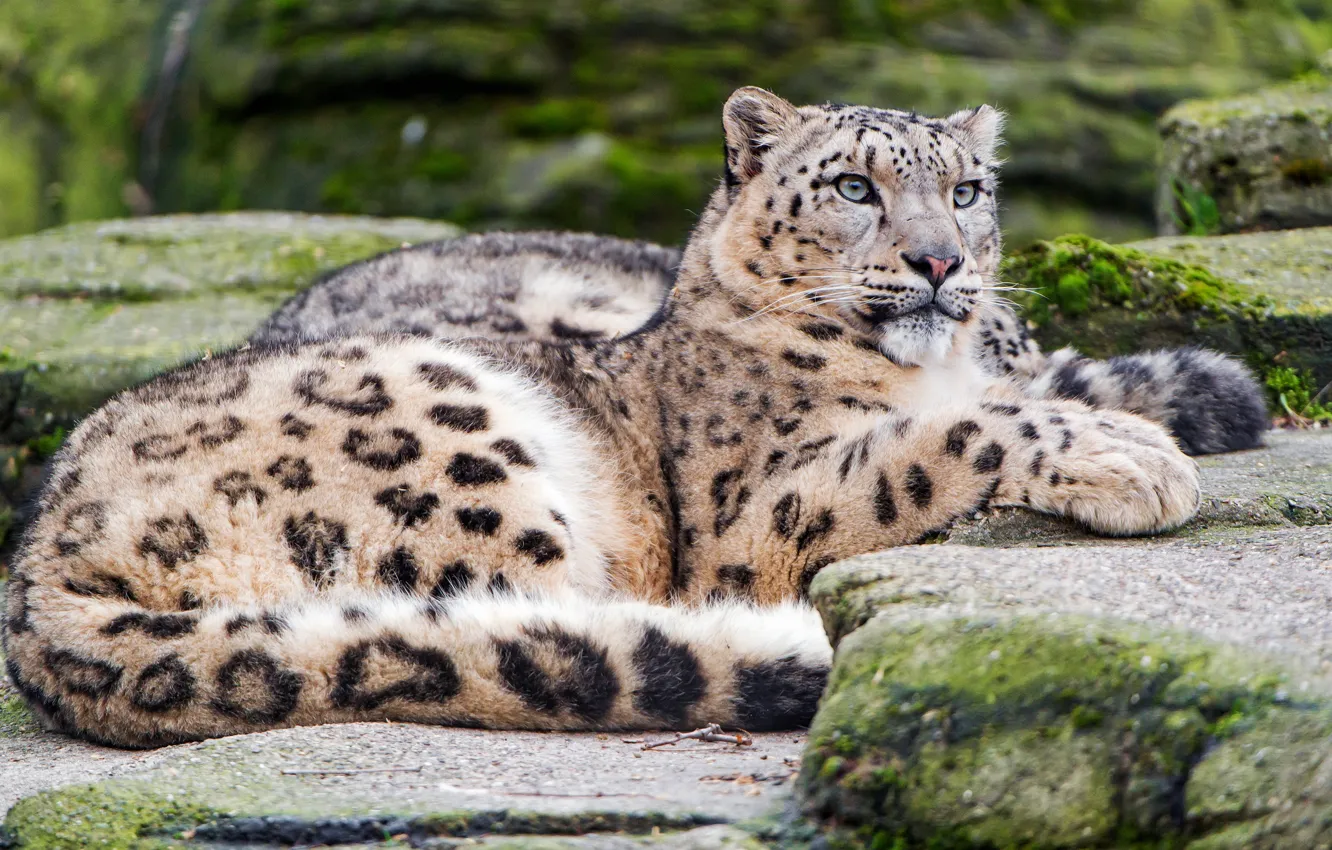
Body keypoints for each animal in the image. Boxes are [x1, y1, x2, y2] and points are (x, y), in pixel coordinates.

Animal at [3, 87, 1206, 749]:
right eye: (855, 188)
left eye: (966, 192)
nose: (940, 262)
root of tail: (38, 567)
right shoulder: (759, 516)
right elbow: (942, 442)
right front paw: (1136, 457)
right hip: (457, 443)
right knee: (539, 625)